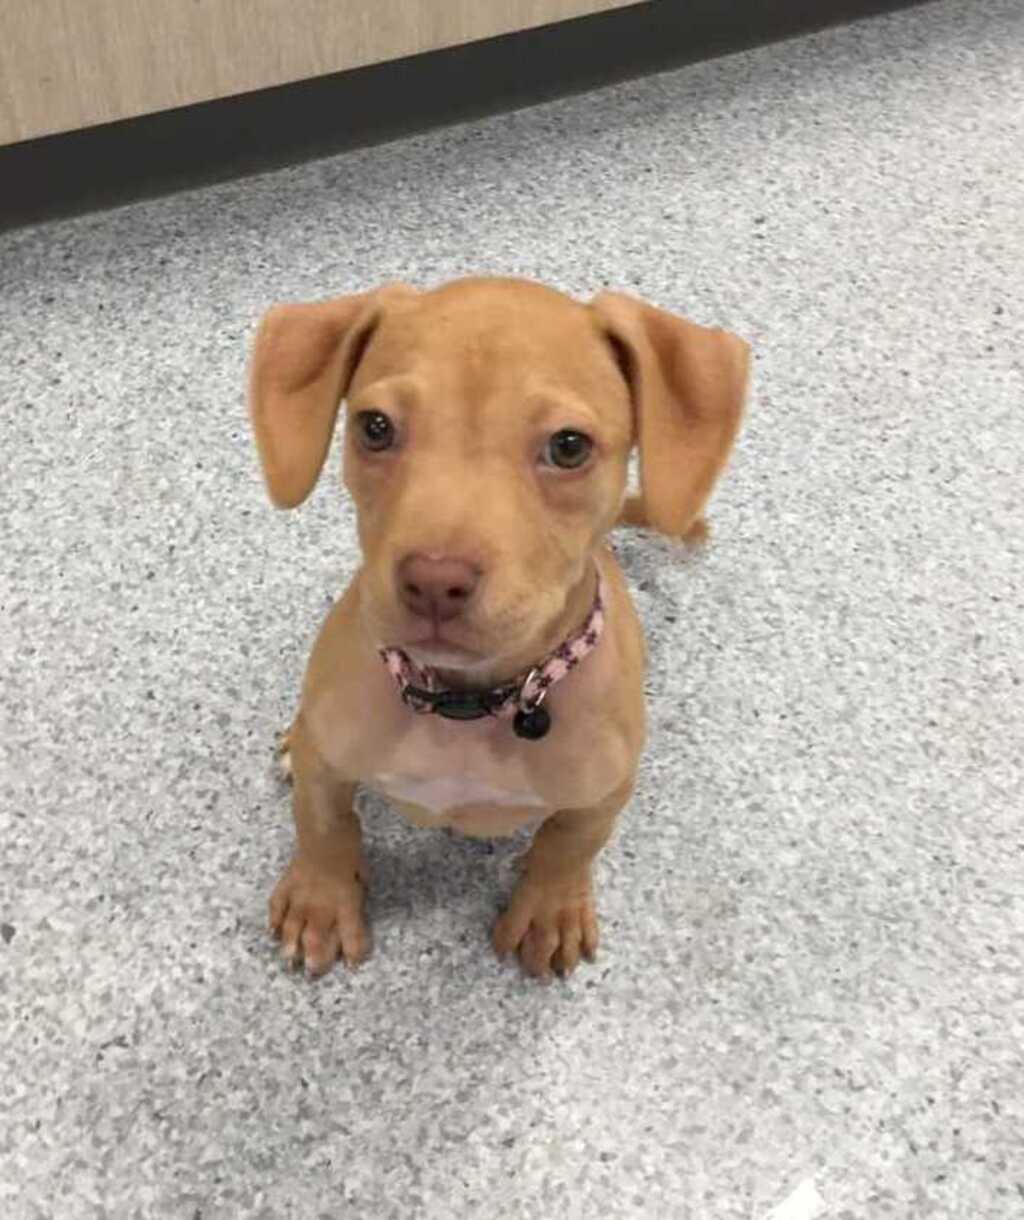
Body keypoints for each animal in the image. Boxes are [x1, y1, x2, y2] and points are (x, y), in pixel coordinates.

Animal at [248, 277, 749, 978]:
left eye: (569, 446)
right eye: (375, 427)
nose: (434, 580)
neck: (467, 703)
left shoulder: (604, 791)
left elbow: (568, 845)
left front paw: (550, 910)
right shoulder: (332, 763)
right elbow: (324, 825)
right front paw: (319, 901)